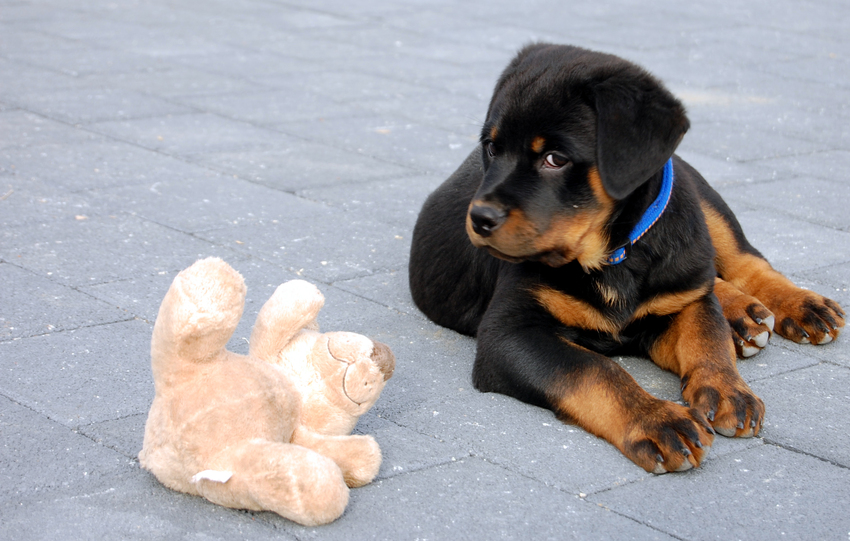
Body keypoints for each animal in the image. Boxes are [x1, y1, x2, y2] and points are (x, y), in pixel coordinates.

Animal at [410, 43, 840, 472]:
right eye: (492, 148)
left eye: (555, 158)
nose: (479, 217)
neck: (614, 255)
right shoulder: (509, 333)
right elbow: (595, 370)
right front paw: (659, 420)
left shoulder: (686, 302)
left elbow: (706, 335)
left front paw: (728, 389)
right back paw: (743, 317)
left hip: (695, 195)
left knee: (742, 261)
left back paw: (799, 306)